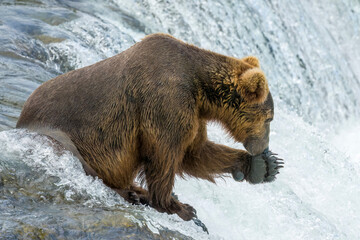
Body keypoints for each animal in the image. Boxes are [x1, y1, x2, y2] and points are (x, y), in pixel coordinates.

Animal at [16, 33, 276, 221]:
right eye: (269, 119)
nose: (263, 147)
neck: (200, 87)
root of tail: (20, 117)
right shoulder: (166, 100)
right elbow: (165, 154)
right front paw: (180, 207)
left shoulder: (193, 112)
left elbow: (195, 152)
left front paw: (263, 166)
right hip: (61, 135)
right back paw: (132, 193)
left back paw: (137, 191)